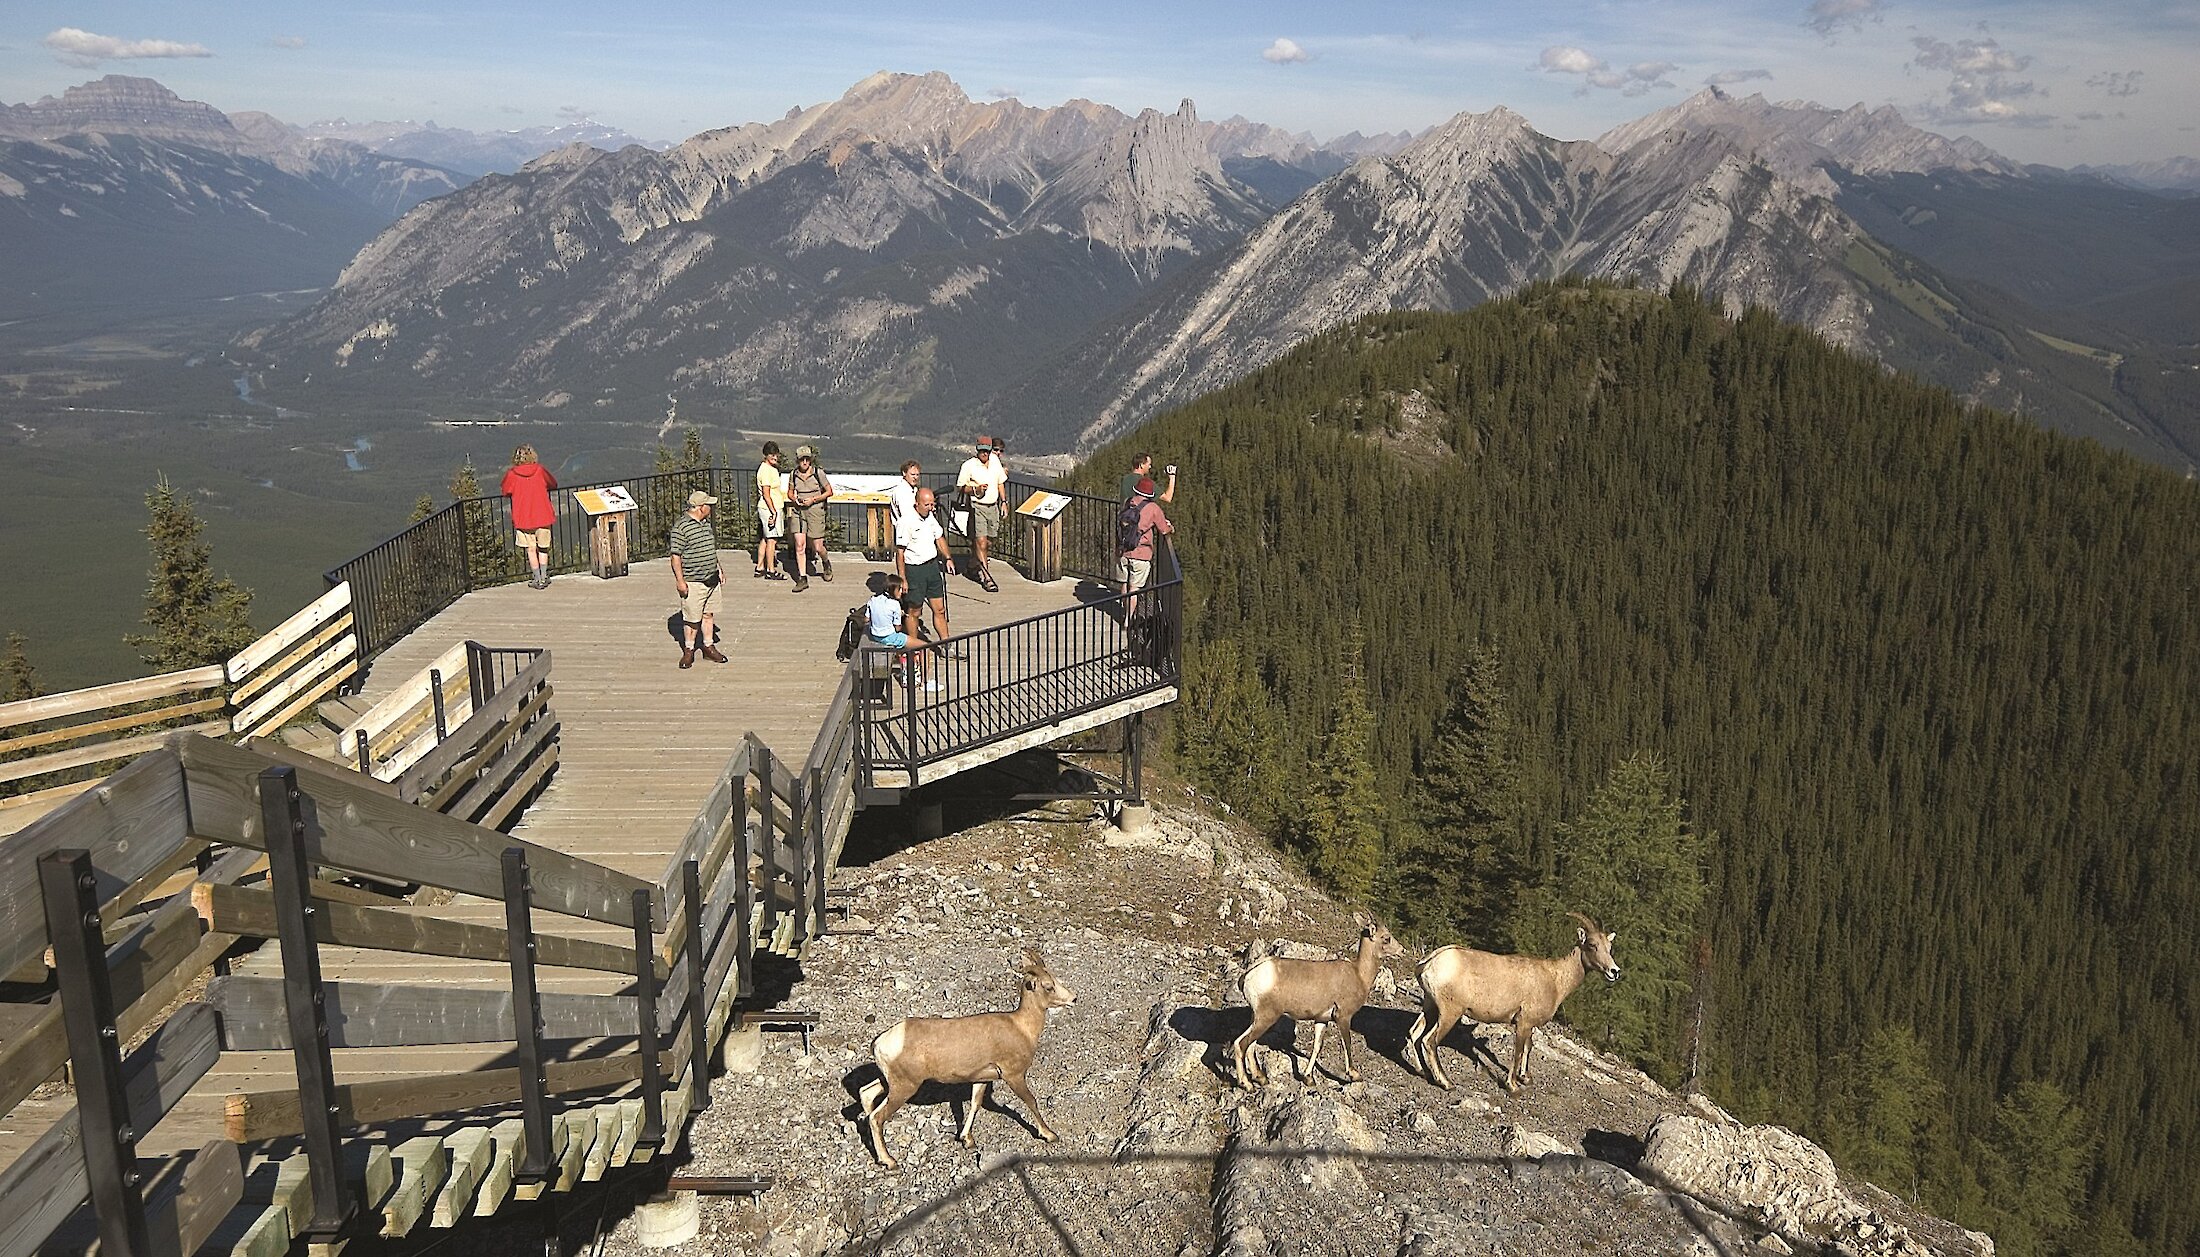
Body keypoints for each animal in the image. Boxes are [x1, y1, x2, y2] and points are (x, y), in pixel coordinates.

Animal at [858, 951, 1073, 1179]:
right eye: (1048, 986)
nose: (1073, 998)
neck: (1021, 1028)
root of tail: (881, 1042)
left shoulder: (982, 1079)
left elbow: (975, 1104)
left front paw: (967, 1140)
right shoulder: (1013, 1076)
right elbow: (1031, 1101)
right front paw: (1050, 1135)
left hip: (889, 1082)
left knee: (867, 1094)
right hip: (903, 1088)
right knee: (876, 1117)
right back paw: (890, 1162)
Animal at [1232, 915, 1399, 1091]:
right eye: (1386, 938)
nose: (1402, 950)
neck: (1359, 974)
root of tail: (1249, 975)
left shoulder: (1322, 1019)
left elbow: (1317, 1046)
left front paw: (1309, 1079)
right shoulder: (1343, 1017)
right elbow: (1347, 1043)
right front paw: (1354, 1075)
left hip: (1257, 1018)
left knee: (1246, 1044)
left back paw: (1261, 1078)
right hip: (1266, 1018)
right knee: (1242, 1044)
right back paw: (1247, 1084)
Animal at [1408, 915, 1619, 1091]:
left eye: (1609, 948)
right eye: (1591, 944)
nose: (1614, 971)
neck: (1555, 980)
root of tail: (1429, 963)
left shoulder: (1529, 1024)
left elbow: (1528, 1047)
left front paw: (1525, 1078)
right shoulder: (1523, 1023)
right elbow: (1517, 1051)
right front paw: (1513, 1086)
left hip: (1430, 1006)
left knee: (1414, 1033)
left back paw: (1422, 1071)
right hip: (1450, 1012)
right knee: (1429, 1041)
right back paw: (1446, 1083)